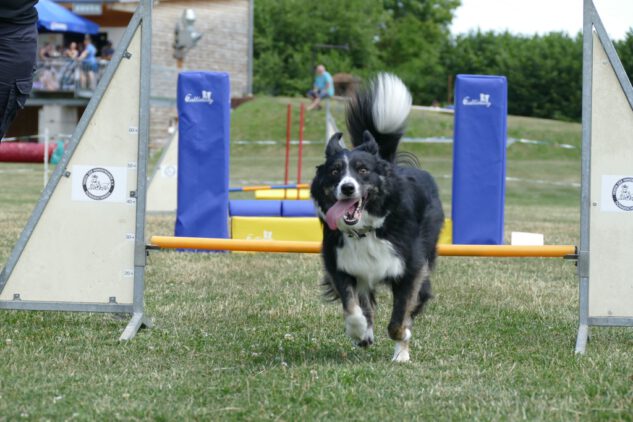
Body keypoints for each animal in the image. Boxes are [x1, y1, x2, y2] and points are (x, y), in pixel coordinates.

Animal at [310, 73, 444, 362]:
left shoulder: (411, 268)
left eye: (363, 170)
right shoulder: (340, 263)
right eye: (335, 171)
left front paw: (402, 340)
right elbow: (352, 306)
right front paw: (360, 332)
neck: (368, 230)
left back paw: (401, 352)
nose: (347, 188)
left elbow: (399, 319)